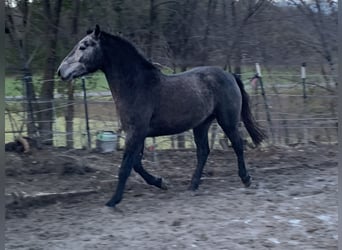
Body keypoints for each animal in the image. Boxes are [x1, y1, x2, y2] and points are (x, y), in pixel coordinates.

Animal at [57, 24, 266, 207]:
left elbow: (125, 167)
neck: (137, 86)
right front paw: (162, 183)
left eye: (83, 46)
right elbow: (136, 164)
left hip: (227, 121)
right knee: (203, 152)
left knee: (237, 145)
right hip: (201, 124)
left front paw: (112, 201)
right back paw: (193, 185)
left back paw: (246, 179)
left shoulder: (136, 133)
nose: (60, 72)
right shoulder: (138, 134)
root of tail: (229, 75)